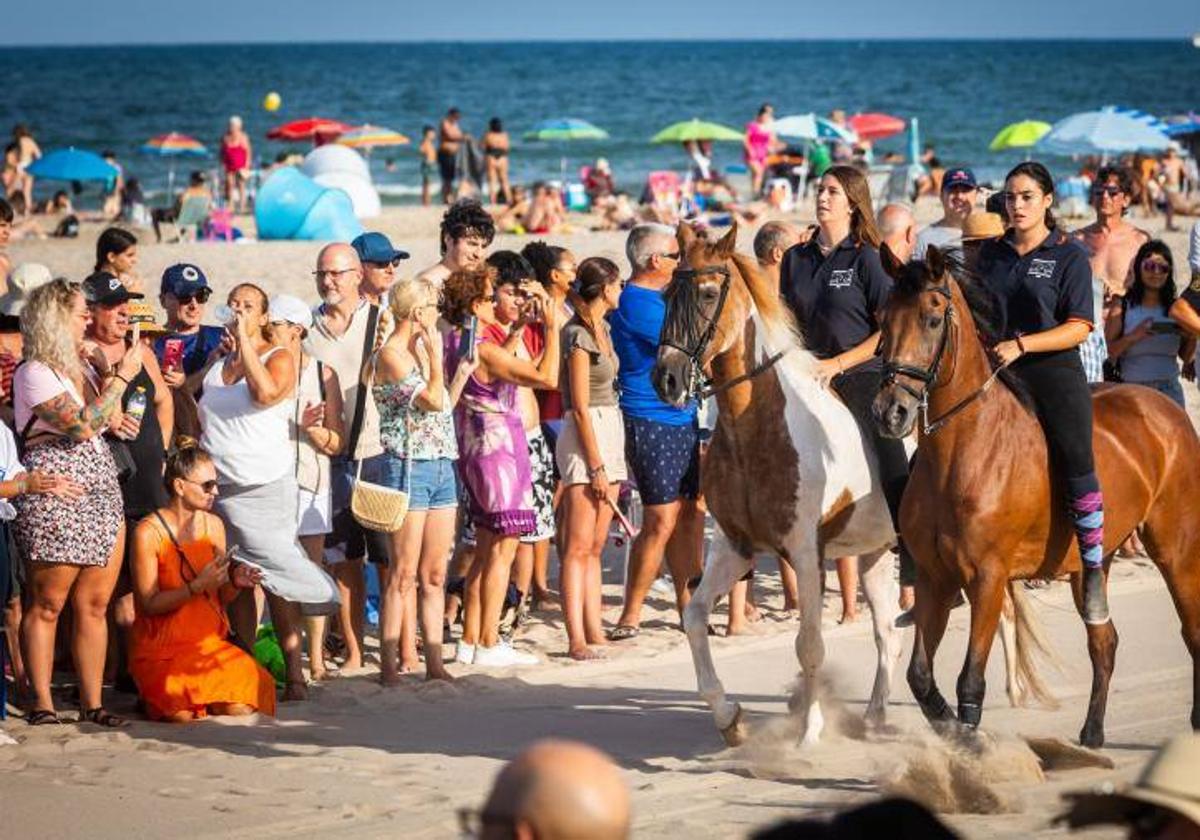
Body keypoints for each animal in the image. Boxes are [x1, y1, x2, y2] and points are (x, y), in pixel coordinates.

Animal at [652, 222, 902, 739]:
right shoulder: (734, 546)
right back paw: (873, 716)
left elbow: (810, 644)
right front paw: (728, 717)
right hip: (875, 552)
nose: (666, 379)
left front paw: (809, 730)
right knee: (888, 633)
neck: (756, 427)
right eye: (666, 294)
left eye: (708, 293)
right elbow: (694, 617)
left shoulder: (806, 553)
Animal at [873, 246, 1200, 744]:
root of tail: (1165, 408)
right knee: (1104, 640)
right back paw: (1092, 732)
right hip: (1090, 565)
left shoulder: (987, 578)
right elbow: (920, 676)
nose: (890, 412)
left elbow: (971, 679)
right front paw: (948, 727)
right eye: (883, 320)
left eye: (931, 319)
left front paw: (970, 741)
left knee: (1191, 629)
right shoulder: (934, 577)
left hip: (1175, 550)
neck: (962, 449)